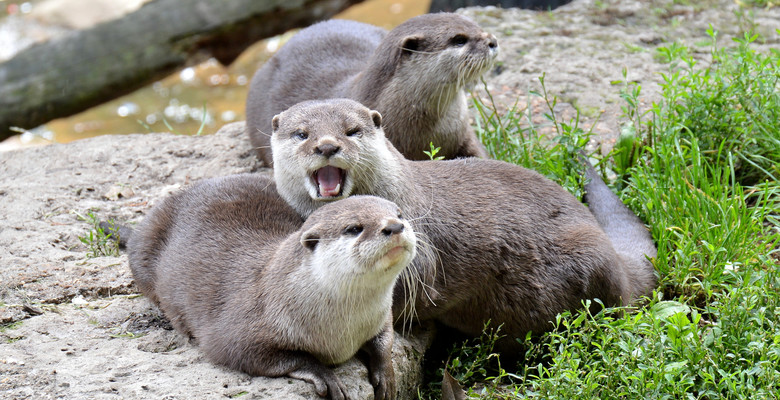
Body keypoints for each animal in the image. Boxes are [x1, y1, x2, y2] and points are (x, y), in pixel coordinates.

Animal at [125, 175, 418, 400]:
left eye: (399, 214)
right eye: (354, 228)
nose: (395, 226)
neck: (344, 329)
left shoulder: (379, 317)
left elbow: (385, 340)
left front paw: (386, 374)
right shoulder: (236, 331)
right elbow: (265, 355)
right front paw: (324, 374)